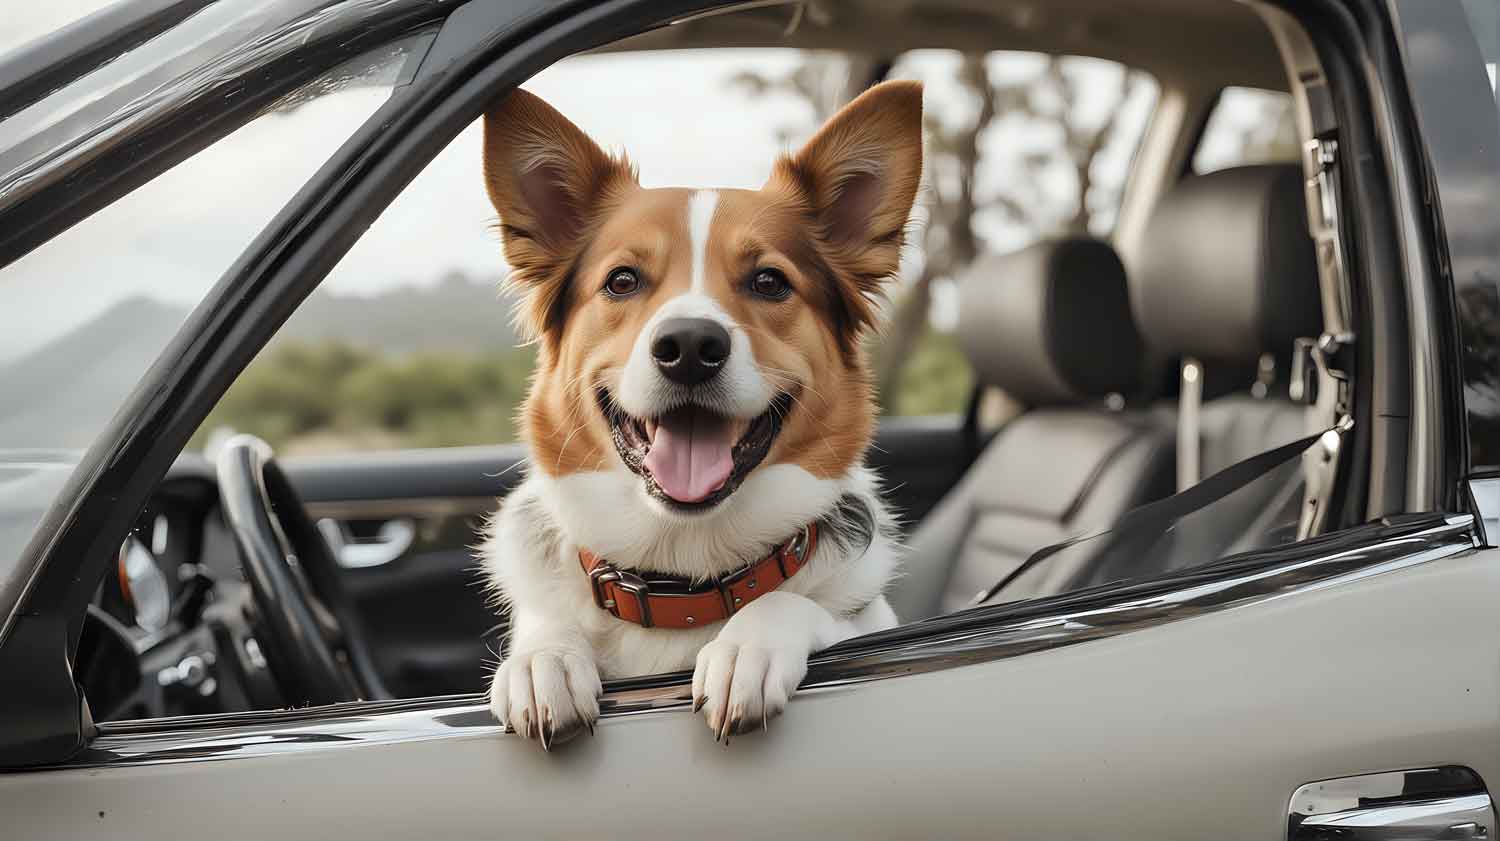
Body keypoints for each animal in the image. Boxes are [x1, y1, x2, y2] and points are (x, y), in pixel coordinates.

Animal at [480, 80, 924, 746]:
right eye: (621, 281)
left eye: (769, 281)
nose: (690, 347)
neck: (683, 575)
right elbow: (545, 626)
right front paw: (544, 659)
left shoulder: (864, 623)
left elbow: (792, 605)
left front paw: (746, 647)